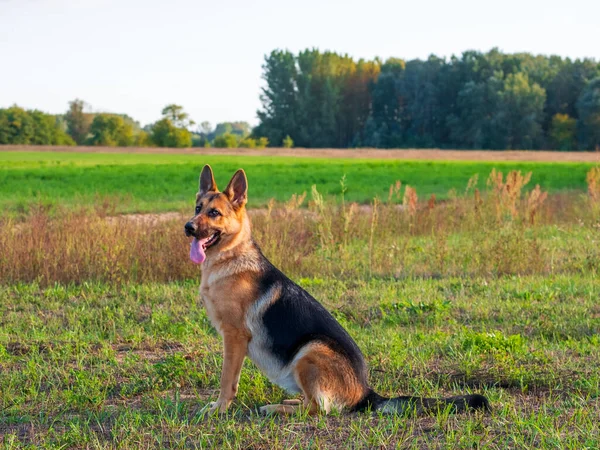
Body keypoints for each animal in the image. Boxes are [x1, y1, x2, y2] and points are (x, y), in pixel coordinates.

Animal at [183, 165, 488, 414]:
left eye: (214, 213)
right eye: (198, 208)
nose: (188, 227)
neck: (230, 256)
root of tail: (366, 392)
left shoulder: (234, 337)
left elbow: (227, 380)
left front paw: (219, 409)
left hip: (310, 350)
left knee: (318, 409)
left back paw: (276, 409)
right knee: (313, 403)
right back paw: (289, 401)